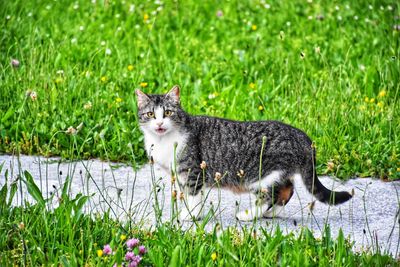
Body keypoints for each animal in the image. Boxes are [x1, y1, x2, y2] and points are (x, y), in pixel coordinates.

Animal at [136, 86, 352, 222]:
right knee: (287, 190)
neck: (162, 141)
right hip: (279, 173)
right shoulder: (180, 175)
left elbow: (194, 197)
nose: (159, 123)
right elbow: (188, 197)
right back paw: (271, 213)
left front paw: (191, 216)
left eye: (168, 113)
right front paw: (190, 212)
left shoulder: (192, 172)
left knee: (270, 195)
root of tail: (302, 136)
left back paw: (248, 215)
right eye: (150, 114)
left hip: (261, 176)